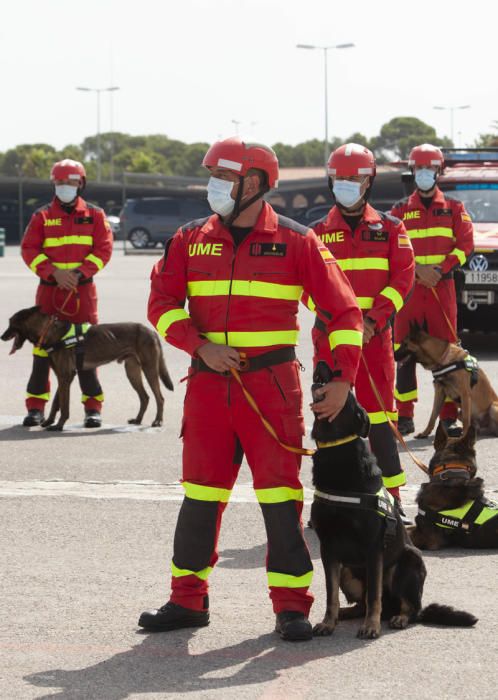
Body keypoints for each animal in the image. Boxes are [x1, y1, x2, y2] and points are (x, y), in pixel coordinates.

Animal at [1, 308, 173, 432]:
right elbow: (57, 402)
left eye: (10, 323)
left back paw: (158, 421)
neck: (48, 330)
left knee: (160, 398)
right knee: (145, 397)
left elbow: (64, 406)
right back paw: (137, 420)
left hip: (149, 370)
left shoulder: (65, 376)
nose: (2, 336)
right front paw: (49, 421)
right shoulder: (64, 377)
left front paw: (59, 426)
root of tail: (151, 331)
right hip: (132, 372)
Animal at [310, 360, 476, 640]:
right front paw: (328, 622)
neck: (336, 448)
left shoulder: (373, 547)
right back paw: (346, 613)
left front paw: (371, 627)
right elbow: (331, 594)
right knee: (362, 602)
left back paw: (399, 617)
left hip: (409, 560)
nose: (325, 363)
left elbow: (374, 595)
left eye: (346, 392)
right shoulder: (328, 549)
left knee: (408, 606)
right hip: (347, 569)